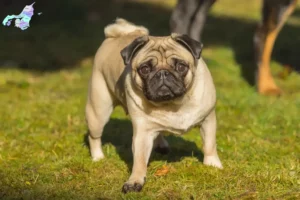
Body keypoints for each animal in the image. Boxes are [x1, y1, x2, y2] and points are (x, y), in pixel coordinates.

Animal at [85, 18, 221, 194]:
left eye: (181, 66)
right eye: (145, 69)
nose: (162, 73)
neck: (173, 103)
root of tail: (116, 34)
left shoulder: (208, 120)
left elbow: (209, 144)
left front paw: (212, 165)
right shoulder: (142, 134)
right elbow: (139, 161)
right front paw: (135, 181)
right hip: (99, 111)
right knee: (94, 136)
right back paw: (97, 157)